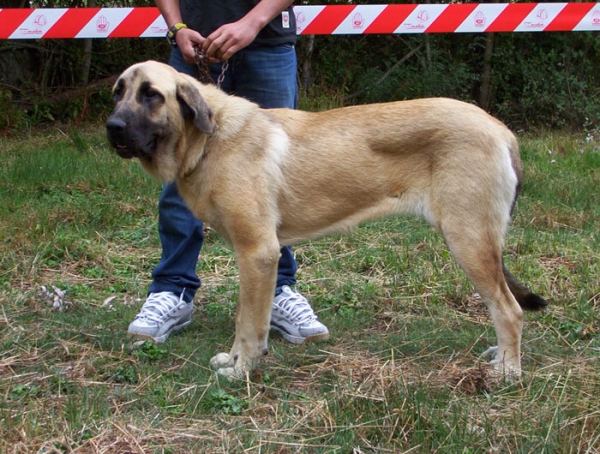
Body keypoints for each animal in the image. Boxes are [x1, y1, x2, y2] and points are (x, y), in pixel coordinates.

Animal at [105, 60, 548, 380]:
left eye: (151, 95)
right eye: (118, 93)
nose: (113, 128)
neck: (209, 139)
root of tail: (501, 130)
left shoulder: (257, 253)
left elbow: (248, 323)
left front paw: (241, 369)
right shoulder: (256, 256)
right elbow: (249, 319)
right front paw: (237, 361)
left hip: (468, 240)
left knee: (509, 311)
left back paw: (508, 371)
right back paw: (500, 357)